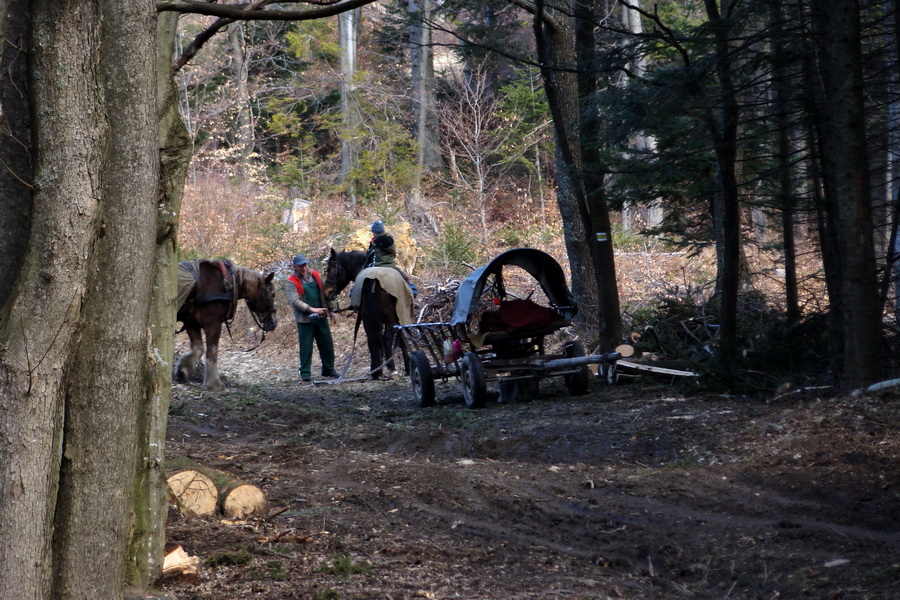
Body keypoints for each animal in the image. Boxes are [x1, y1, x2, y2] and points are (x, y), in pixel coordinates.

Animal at [174, 260, 276, 392]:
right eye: (272, 294)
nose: (273, 322)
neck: (224, 281)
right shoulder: (213, 324)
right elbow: (212, 353)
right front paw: (215, 384)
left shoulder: (192, 323)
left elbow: (197, 350)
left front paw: (182, 371)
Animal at [322, 250, 410, 380]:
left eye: (330, 269)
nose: (326, 292)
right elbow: (401, 340)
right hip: (388, 317)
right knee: (386, 338)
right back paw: (391, 370)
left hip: (370, 318)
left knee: (373, 339)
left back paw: (376, 371)